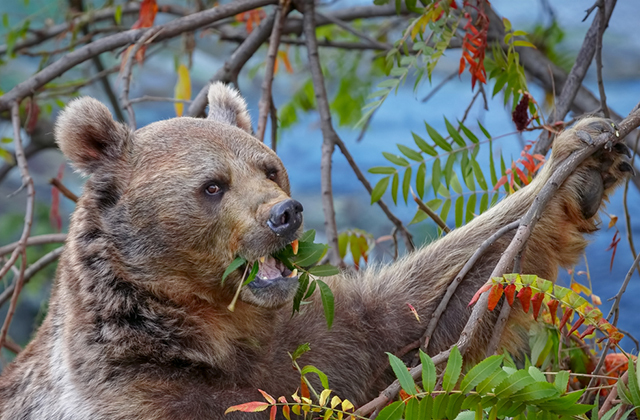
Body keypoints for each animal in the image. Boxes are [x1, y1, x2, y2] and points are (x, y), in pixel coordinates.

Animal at [0, 83, 632, 420]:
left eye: (267, 166)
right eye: (213, 186)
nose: (285, 213)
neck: (209, 335)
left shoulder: (314, 348)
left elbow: (424, 316)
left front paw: (585, 157)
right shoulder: (141, 392)